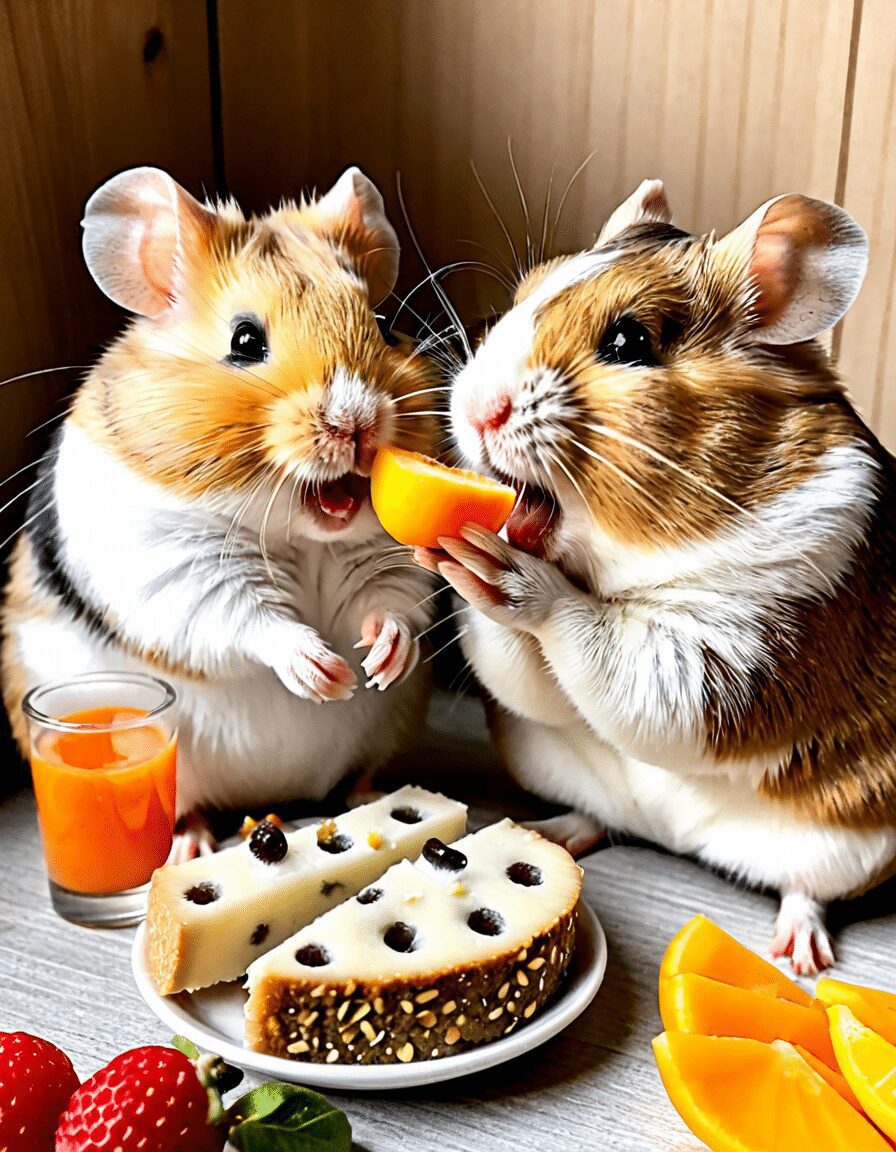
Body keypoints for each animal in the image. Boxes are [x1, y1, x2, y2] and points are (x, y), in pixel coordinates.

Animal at [1, 165, 438, 856]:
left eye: (382, 320)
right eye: (245, 340)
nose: (358, 423)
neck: (298, 532)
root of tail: (274, 792)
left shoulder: (387, 559)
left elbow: (388, 603)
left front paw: (375, 665)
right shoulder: (178, 570)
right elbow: (251, 618)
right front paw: (327, 676)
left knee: (355, 780)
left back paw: (369, 796)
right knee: (190, 806)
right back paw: (193, 844)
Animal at [419, 179, 896, 974]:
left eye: (628, 342)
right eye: (526, 292)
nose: (475, 408)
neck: (617, 560)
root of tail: (672, 837)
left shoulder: (742, 649)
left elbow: (605, 645)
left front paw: (510, 573)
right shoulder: (532, 687)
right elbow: (522, 669)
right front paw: (456, 559)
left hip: (848, 847)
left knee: (807, 890)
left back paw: (800, 952)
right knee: (600, 817)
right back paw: (556, 831)